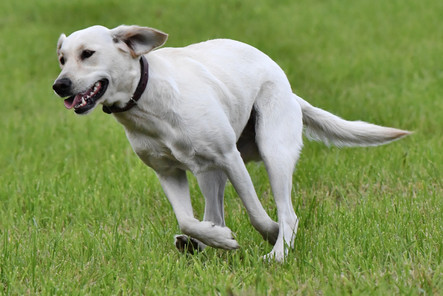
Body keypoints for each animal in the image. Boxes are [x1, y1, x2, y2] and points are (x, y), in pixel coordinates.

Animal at [53, 25, 412, 262]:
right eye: (61, 59)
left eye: (88, 54)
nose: (60, 85)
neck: (146, 98)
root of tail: (289, 89)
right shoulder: (168, 172)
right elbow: (187, 219)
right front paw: (219, 240)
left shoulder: (230, 157)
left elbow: (256, 213)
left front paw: (270, 235)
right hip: (207, 172)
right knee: (214, 215)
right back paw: (205, 242)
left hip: (272, 150)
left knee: (289, 213)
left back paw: (278, 252)